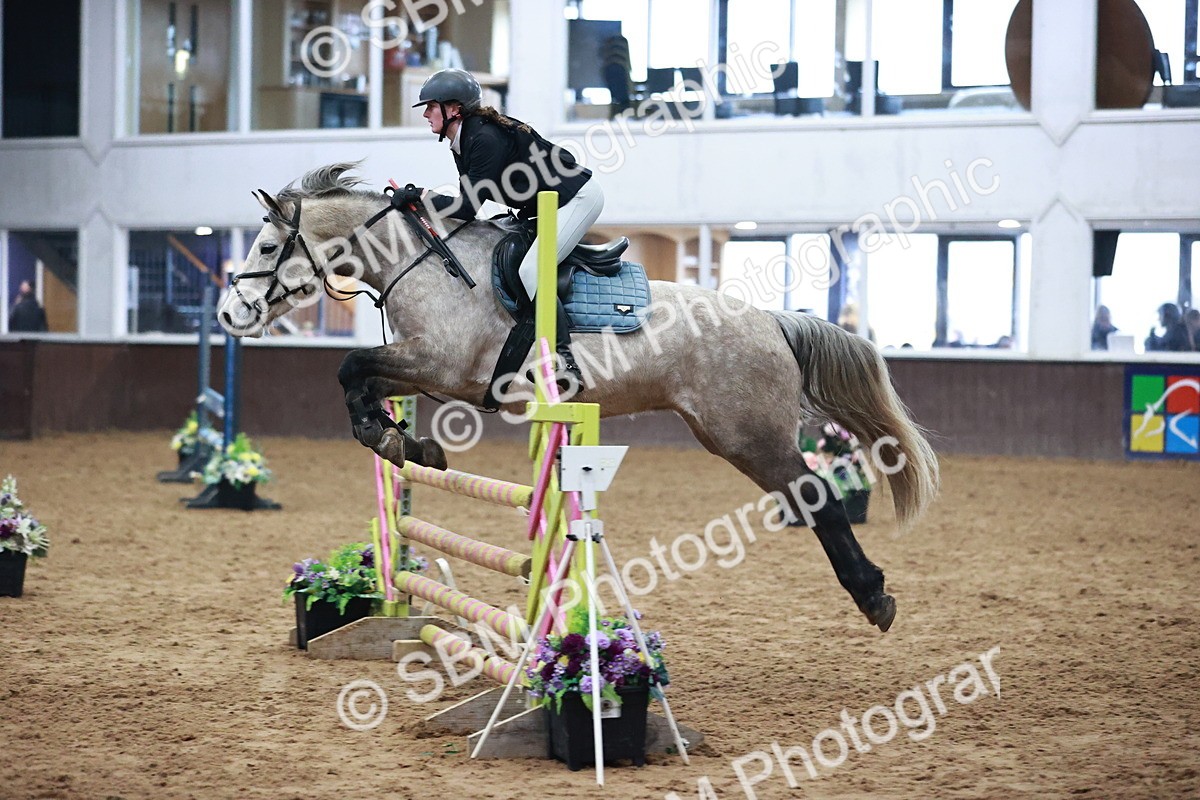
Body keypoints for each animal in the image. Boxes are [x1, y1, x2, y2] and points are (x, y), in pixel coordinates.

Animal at [218, 163, 939, 632]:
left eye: (266, 244)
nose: (230, 313)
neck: (421, 265)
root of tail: (771, 319)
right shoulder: (427, 372)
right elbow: (359, 380)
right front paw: (403, 441)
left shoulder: (442, 364)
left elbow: (351, 365)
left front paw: (391, 437)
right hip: (728, 433)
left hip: (749, 436)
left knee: (816, 496)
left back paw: (874, 597)